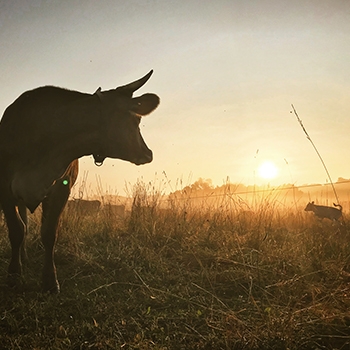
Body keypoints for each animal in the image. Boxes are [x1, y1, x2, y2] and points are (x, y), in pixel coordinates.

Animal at [0, 70, 160, 292]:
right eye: (136, 121)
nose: (148, 154)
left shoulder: (61, 190)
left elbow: (48, 233)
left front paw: (50, 280)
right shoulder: (5, 189)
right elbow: (16, 231)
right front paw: (14, 274)